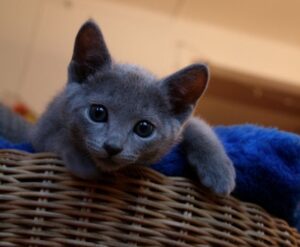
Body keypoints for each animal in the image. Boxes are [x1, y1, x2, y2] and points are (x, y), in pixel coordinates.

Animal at [27, 20, 234, 195]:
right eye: (97, 113)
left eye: (144, 128)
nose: (112, 147)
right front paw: (82, 162)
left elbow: (199, 126)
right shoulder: (42, 131)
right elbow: (57, 137)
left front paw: (220, 173)